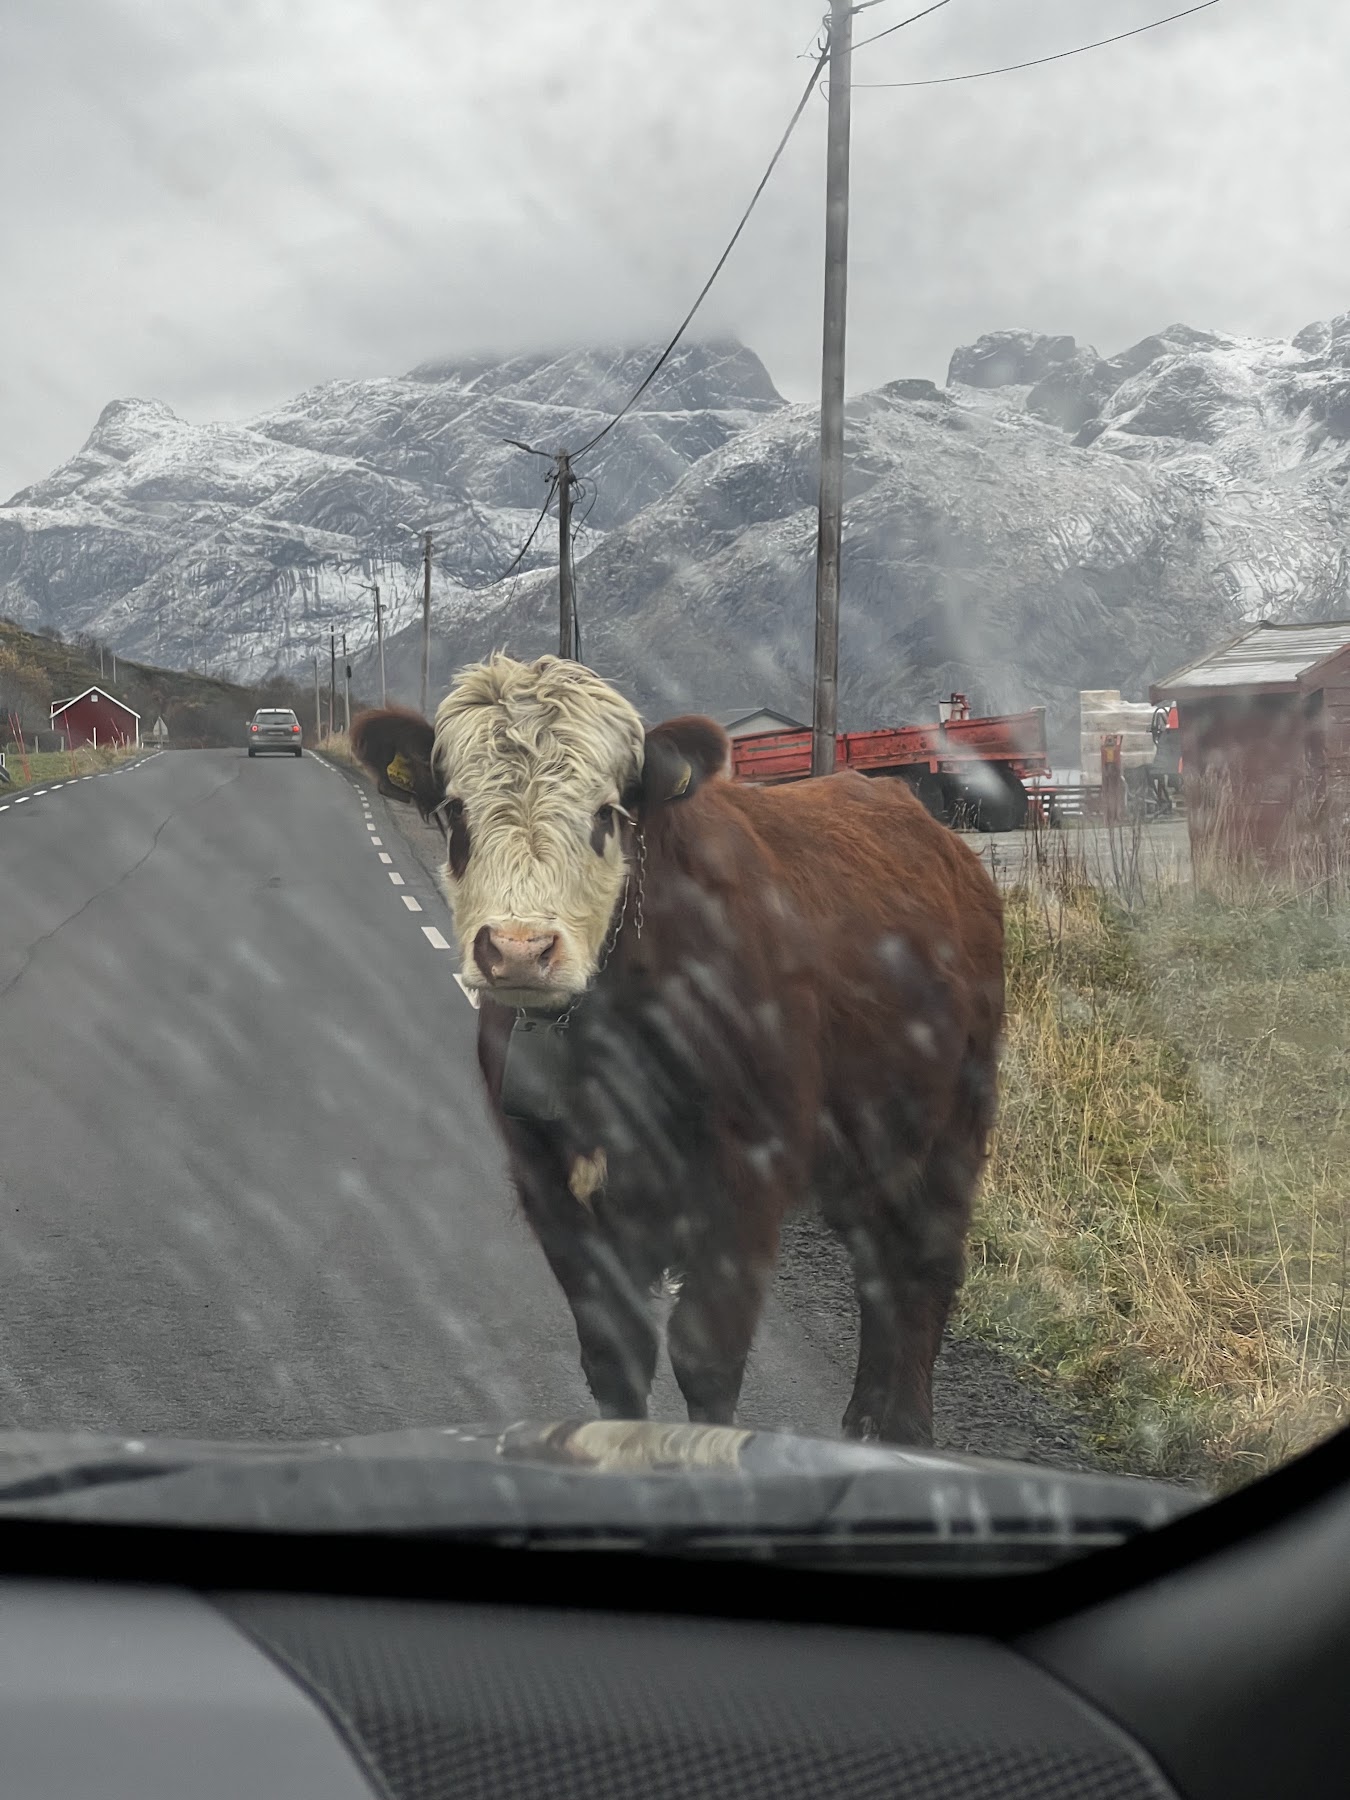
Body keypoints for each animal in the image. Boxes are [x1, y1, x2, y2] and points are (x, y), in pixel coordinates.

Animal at [351, 655, 1004, 1445]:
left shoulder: (747, 1174)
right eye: (455, 810)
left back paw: (907, 1429)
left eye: (606, 814)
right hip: (866, 1138)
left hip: (954, 1123)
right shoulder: (549, 1183)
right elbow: (615, 1352)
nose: (520, 949)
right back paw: (861, 1421)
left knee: (927, 1264)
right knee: (876, 1263)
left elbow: (706, 1355)